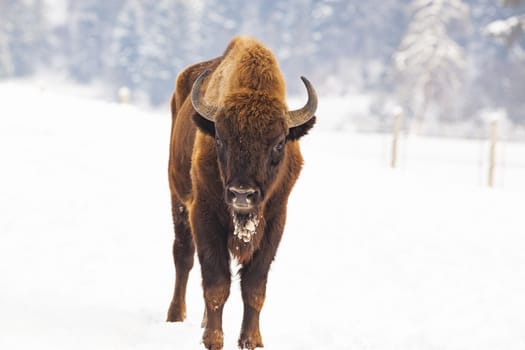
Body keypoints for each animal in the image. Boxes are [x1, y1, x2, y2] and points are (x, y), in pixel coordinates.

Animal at [166, 36, 318, 350]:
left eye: (279, 143)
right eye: (220, 140)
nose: (241, 194)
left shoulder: (275, 222)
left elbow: (254, 287)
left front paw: (252, 341)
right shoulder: (204, 215)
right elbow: (216, 283)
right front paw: (213, 340)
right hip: (177, 198)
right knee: (183, 255)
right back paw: (175, 316)